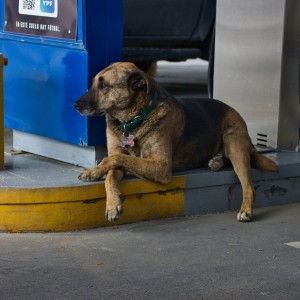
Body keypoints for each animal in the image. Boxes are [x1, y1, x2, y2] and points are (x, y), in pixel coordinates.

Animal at [74, 62, 278, 223]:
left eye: (104, 85)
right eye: (94, 82)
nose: (74, 105)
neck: (134, 119)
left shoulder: (161, 166)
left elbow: (113, 158)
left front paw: (95, 172)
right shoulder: (119, 157)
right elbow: (111, 171)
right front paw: (107, 196)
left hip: (234, 143)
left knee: (249, 185)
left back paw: (246, 210)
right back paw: (217, 160)